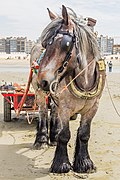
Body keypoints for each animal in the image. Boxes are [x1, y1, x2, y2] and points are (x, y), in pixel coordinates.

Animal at [37, 5, 106, 174]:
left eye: (65, 44)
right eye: (44, 44)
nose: (43, 81)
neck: (84, 81)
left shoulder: (92, 108)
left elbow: (84, 134)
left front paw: (84, 163)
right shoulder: (65, 108)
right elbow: (65, 134)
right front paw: (61, 164)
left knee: (54, 112)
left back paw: (53, 137)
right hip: (40, 95)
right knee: (43, 113)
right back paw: (41, 139)